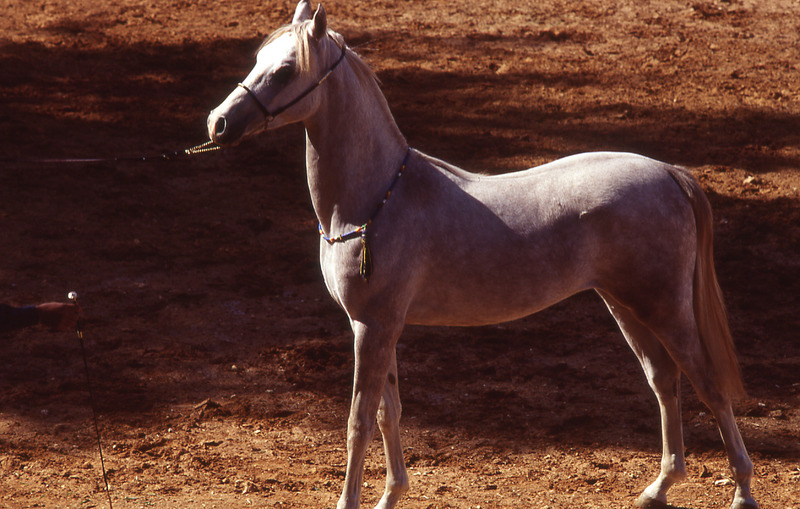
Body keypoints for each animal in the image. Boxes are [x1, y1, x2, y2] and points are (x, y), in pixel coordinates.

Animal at [206, 2, 758, 508]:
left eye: (285, 70)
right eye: (257, 59)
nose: (219, 123)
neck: (376, 197)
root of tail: (668, 172)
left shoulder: (372, 326)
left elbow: (358, 422)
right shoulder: (382, 327)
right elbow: (389, 412)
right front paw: (391, 494)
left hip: (664, 308)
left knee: (708, 383)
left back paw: (742, 491)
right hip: (625, 306)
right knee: (665, 381)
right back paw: (659, 487)